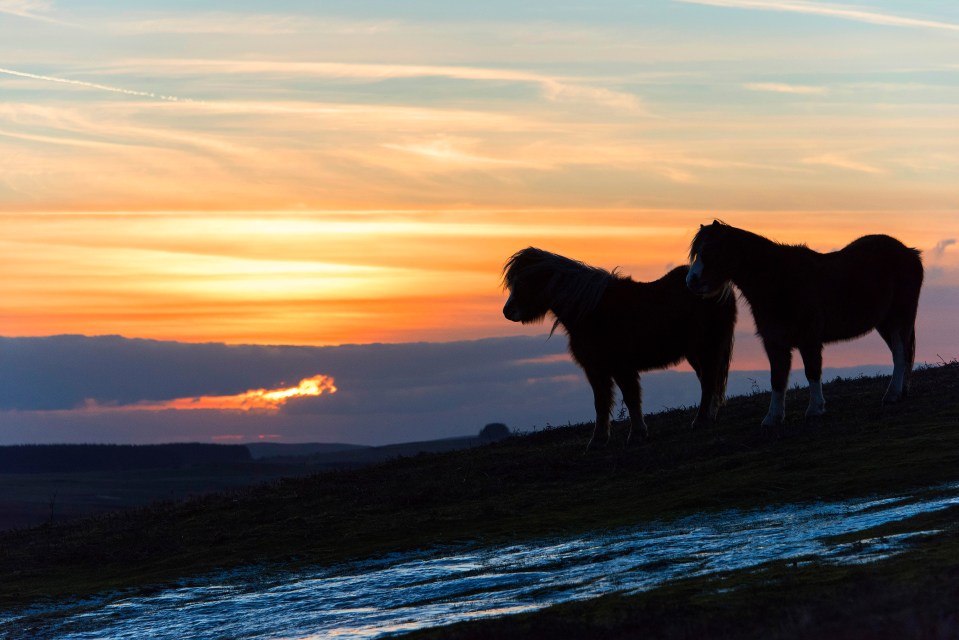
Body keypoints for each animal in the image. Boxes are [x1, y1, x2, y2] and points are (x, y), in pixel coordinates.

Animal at [502, 246, 736, 450]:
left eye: (523, 282)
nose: (507, 311)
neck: (592, 311)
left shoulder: (622, 367)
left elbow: (630, 398)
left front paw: (637, 434)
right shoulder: (595, 370)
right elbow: (601, 403)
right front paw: (598, 440)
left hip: (708, 346)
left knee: (708, 381)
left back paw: (701, 421)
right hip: (696, 352)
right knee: (708, 380)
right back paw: (709, 416)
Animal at [688, 222, 928, 428]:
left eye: (711, 249)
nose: (691, 281)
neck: (778, 280)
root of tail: (909, 252)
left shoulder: (809, 338)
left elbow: (812, 371)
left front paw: (815, 410)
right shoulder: (774, 342)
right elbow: (777, 379)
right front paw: (773, 418)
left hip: (899, 318)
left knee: (900, 354)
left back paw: (892, 395)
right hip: (885, 323)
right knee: (903, 354)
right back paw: (901, 392)